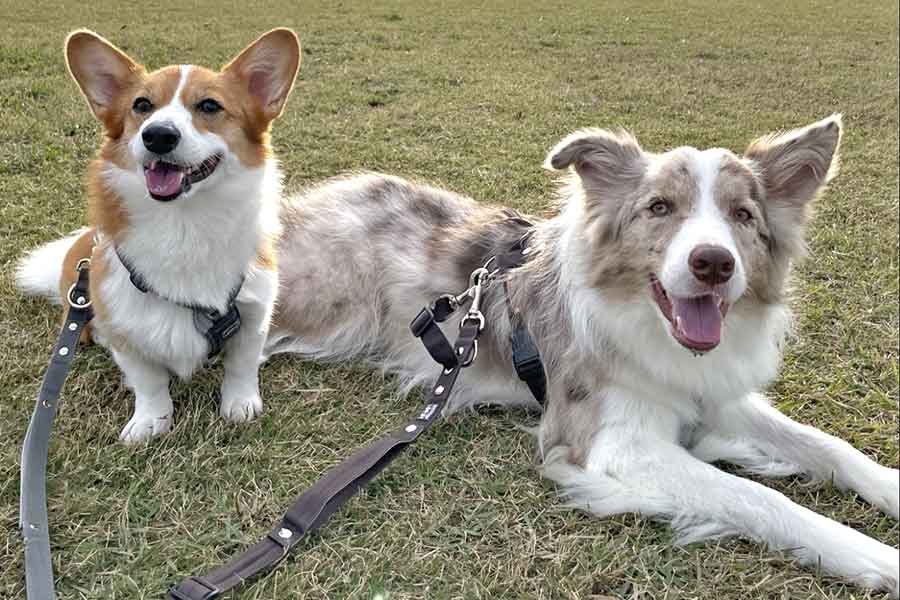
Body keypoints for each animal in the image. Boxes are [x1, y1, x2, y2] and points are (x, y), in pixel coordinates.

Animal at [15, 28, 300, 442]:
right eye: (142, 105)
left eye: (210, 106)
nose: (158, 136)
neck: (184, 224)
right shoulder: (123, 326)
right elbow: (148, 381)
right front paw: (151, 421)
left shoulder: (255, 310)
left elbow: (242, 365)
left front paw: (240, 405)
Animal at [268, 117, 900, 596]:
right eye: (659, 208)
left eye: (743, 215)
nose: (714, 263)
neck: (649, 326)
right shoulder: (615, 444)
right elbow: (759, 498)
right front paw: (876, 558)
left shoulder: (710, 394)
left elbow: (826, 446)